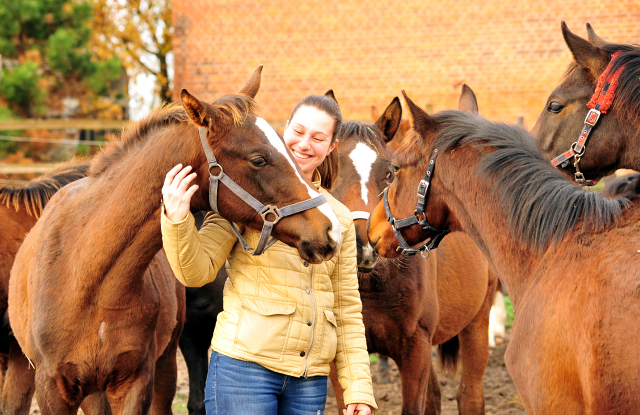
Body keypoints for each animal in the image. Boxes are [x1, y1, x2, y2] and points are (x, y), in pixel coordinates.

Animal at [330, 92, 496, 414]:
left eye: (389, 173)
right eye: (330, 172)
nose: (363, 246)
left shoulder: (415, 348)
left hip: (477, 322)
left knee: (469, 395)